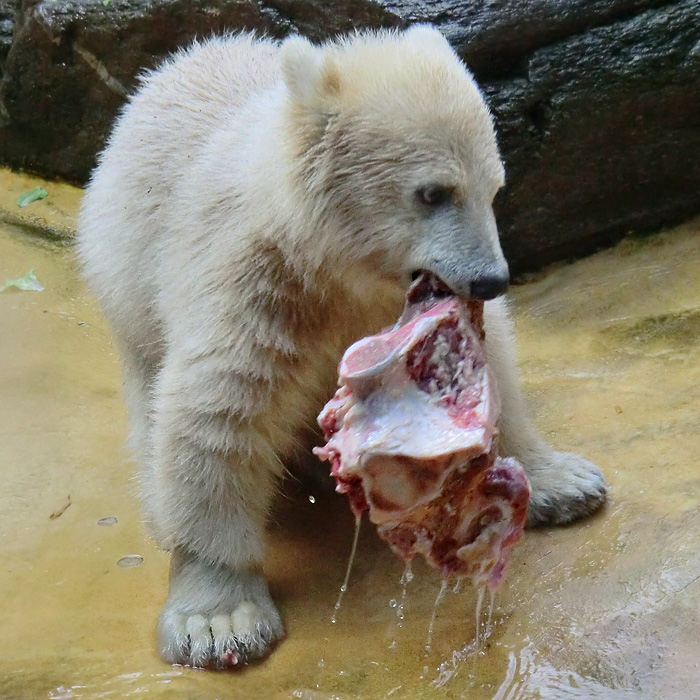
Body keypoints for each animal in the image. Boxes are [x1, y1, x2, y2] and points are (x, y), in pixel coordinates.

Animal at [75, 26, 600, 668]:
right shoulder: (251, 278)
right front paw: (219, 618)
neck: (332, 261)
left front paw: (565, 481)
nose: (491, 279)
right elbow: (218, 408)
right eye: (433, 193)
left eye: (494, 188)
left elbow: (489, 358)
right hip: (125, 282)